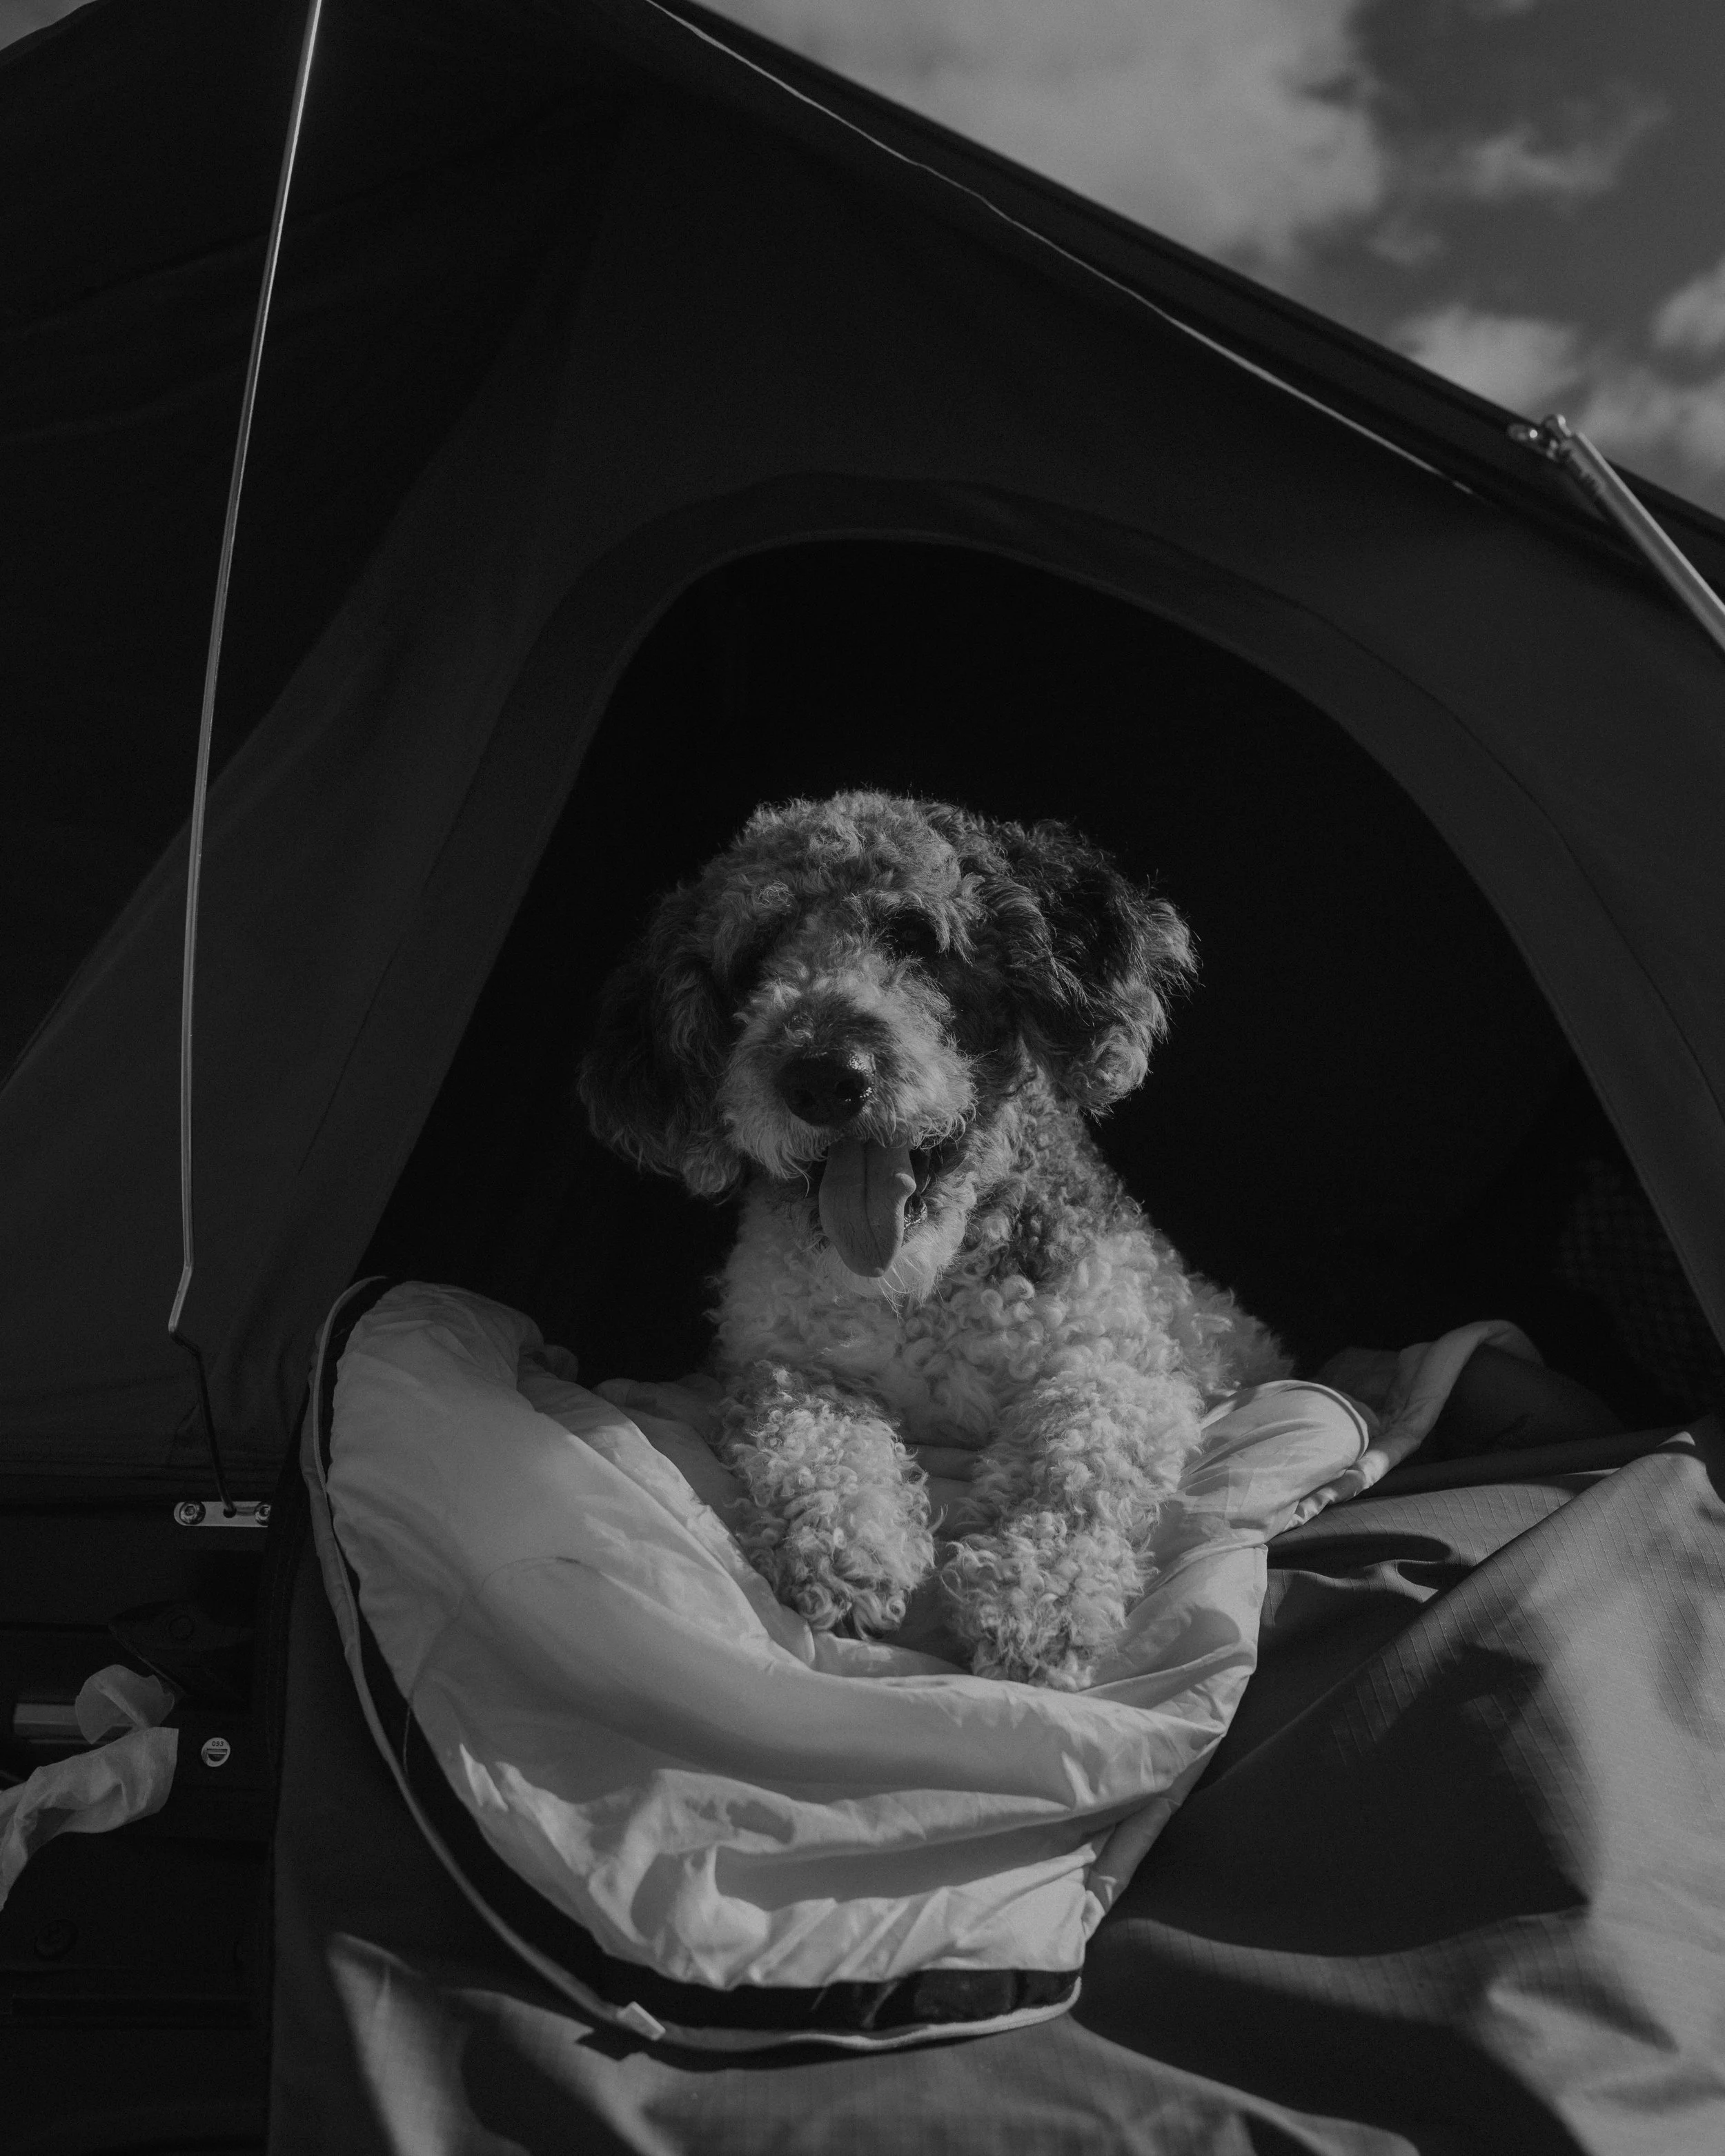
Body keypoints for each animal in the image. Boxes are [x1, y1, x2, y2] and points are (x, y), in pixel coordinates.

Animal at [579, 791, 1288, 1688]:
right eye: (753, 957)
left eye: (916, 936)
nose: (823, 1076)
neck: (923, 1283)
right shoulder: (782, 1363)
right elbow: (816, 1439)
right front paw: (849, 1549)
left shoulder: (1126, 1367)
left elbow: (1075, 1459)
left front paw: (1033, 1596)